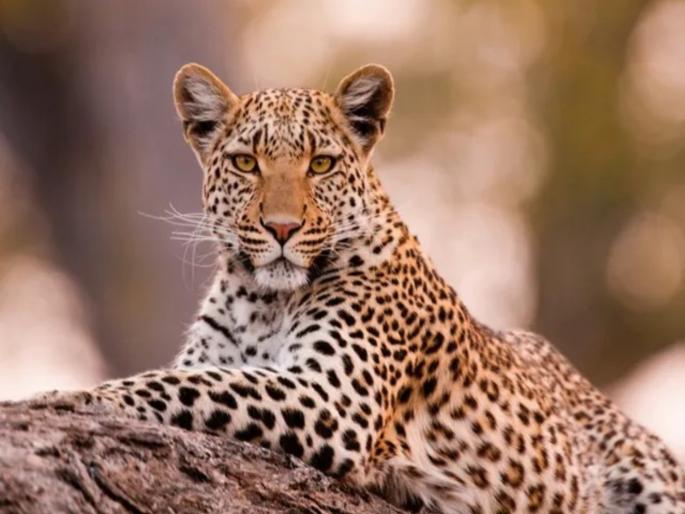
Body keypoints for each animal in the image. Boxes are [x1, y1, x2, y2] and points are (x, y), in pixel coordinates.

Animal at [37, 63, 684, 514]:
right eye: (246, 163)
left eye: (321, 164)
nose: (281, 228)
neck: (263, 301)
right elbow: (195, 375)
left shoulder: (335, 398)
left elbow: (189, 384)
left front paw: (65, 397)